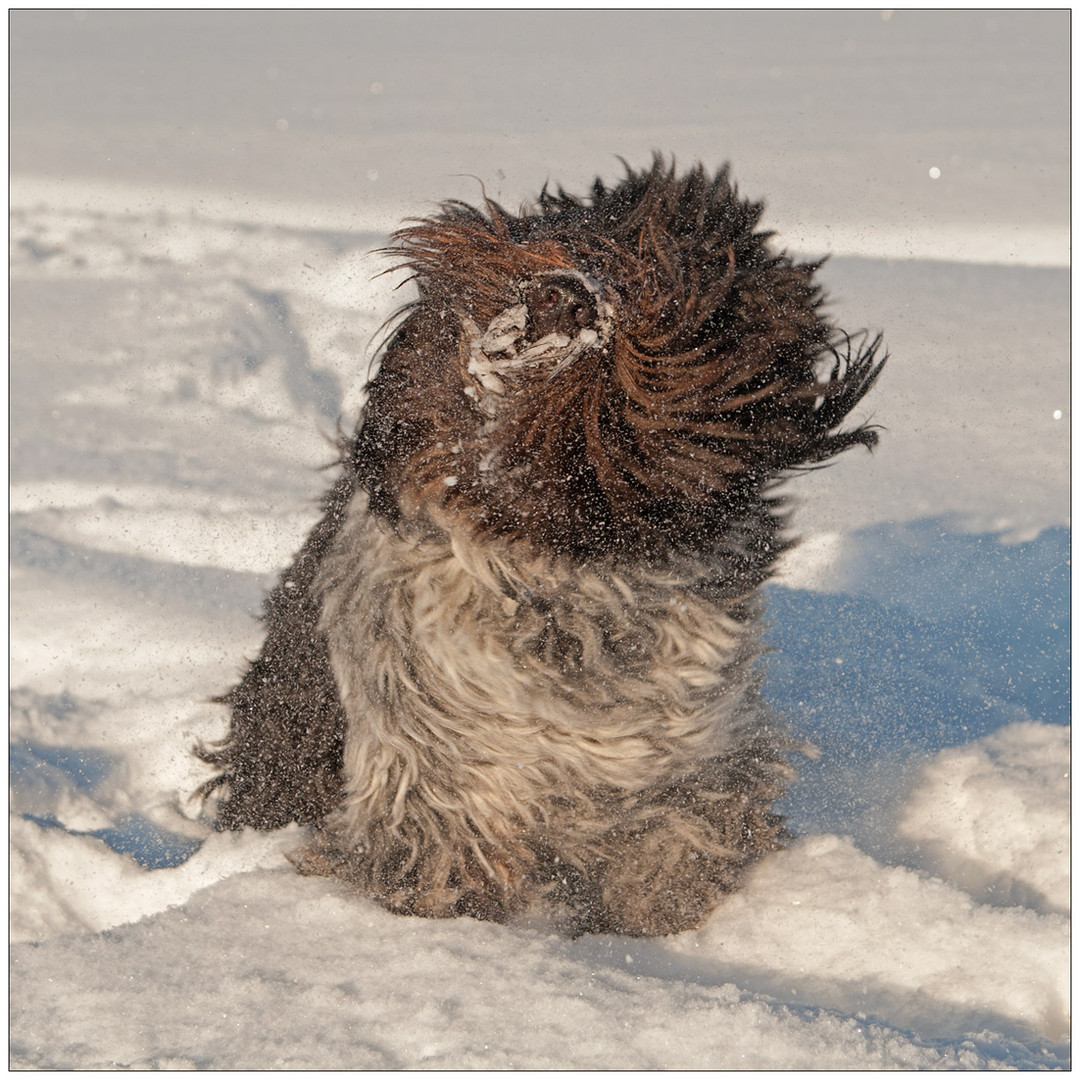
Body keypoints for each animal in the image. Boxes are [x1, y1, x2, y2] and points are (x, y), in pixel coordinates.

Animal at [198, 154, 881, 937]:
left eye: (656, 279)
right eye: (571, 241)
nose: (565, 295)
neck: (564, 573)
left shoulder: (690, 769)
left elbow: (678, 852)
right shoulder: (431, 778)